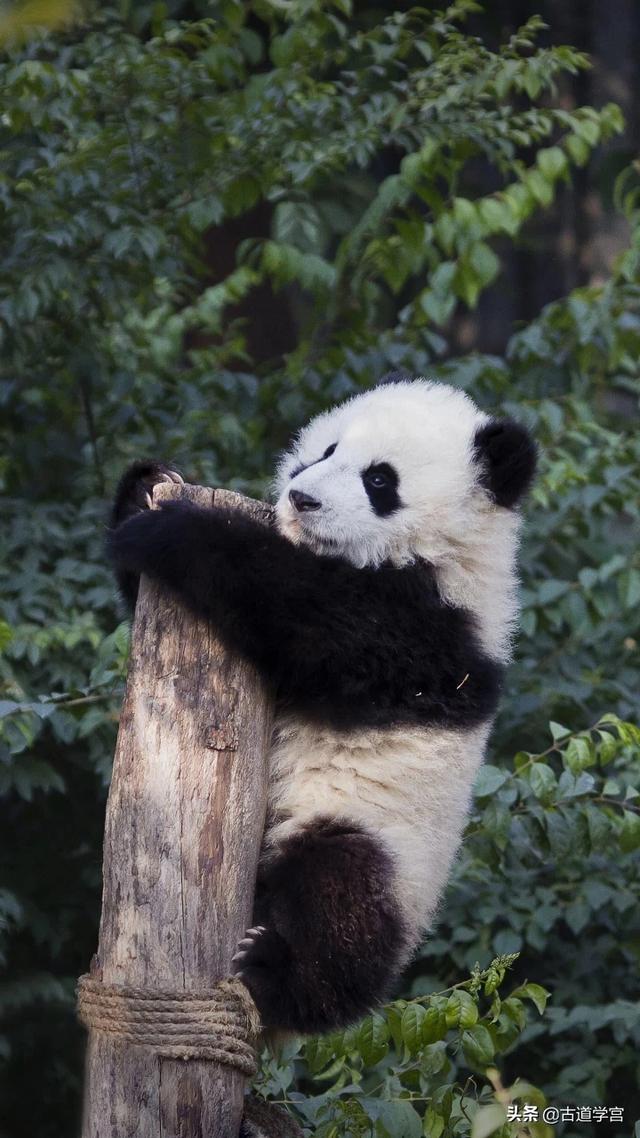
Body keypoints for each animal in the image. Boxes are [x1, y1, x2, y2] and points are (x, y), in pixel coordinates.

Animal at [108, 377, 532, 1037]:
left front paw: (174, 529)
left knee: (342, 897)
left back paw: (279, 975)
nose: (302, 498)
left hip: (384, 842)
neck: (440, 554)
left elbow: (308, 613)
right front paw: (145, 486)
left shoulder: (430, 632)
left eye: (380, 479)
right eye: (326, 451)